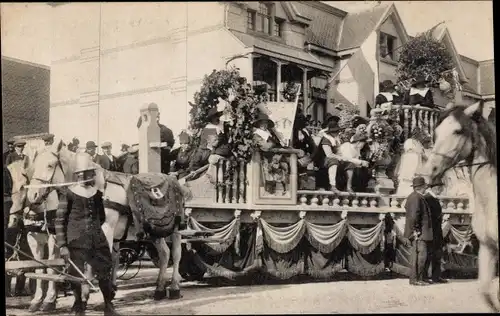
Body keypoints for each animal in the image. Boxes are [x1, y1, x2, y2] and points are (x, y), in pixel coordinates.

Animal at [26, 139, 185, 300]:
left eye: (49, 165)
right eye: (34, 167)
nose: (32, 195)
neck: (95, 187)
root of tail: (173, 179)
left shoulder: (106, 229)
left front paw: (102, 291)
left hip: (175, 229)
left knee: (176, 254)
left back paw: (174, 287)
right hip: (154, 232)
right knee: (164, 253)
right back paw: (159, 289)